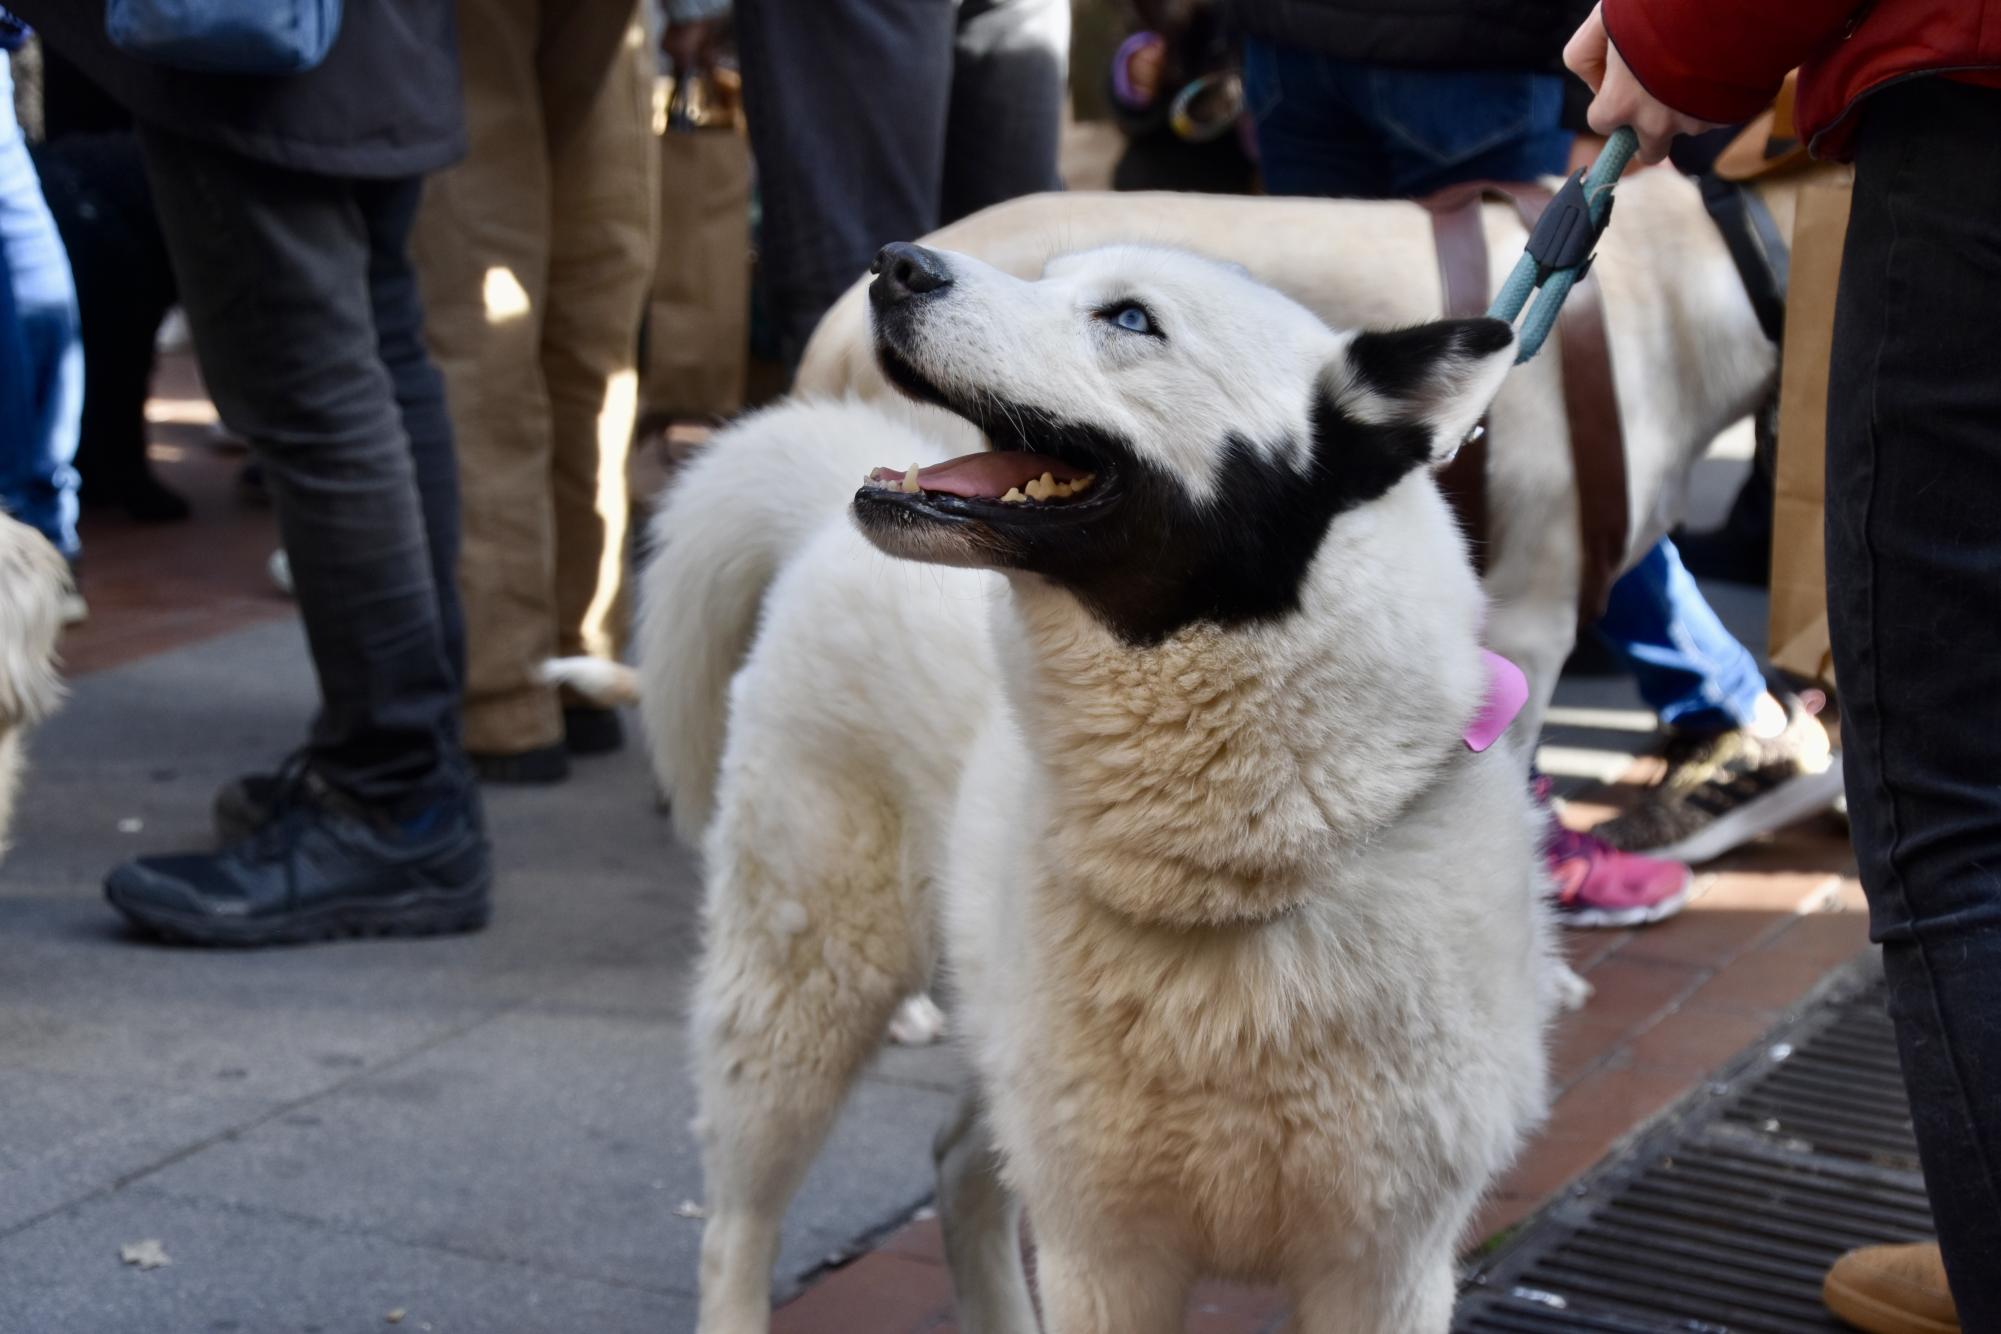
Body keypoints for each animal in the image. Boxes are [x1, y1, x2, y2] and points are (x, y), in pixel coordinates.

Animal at [632, 243, 1568, 1334]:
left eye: (1129, 318)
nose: (898, 264)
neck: (1236, 872)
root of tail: (829, 510)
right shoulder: (1107, 1254)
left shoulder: (1383, 1264)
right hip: (801, 995)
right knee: (735, 1228)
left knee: (960, 1163)